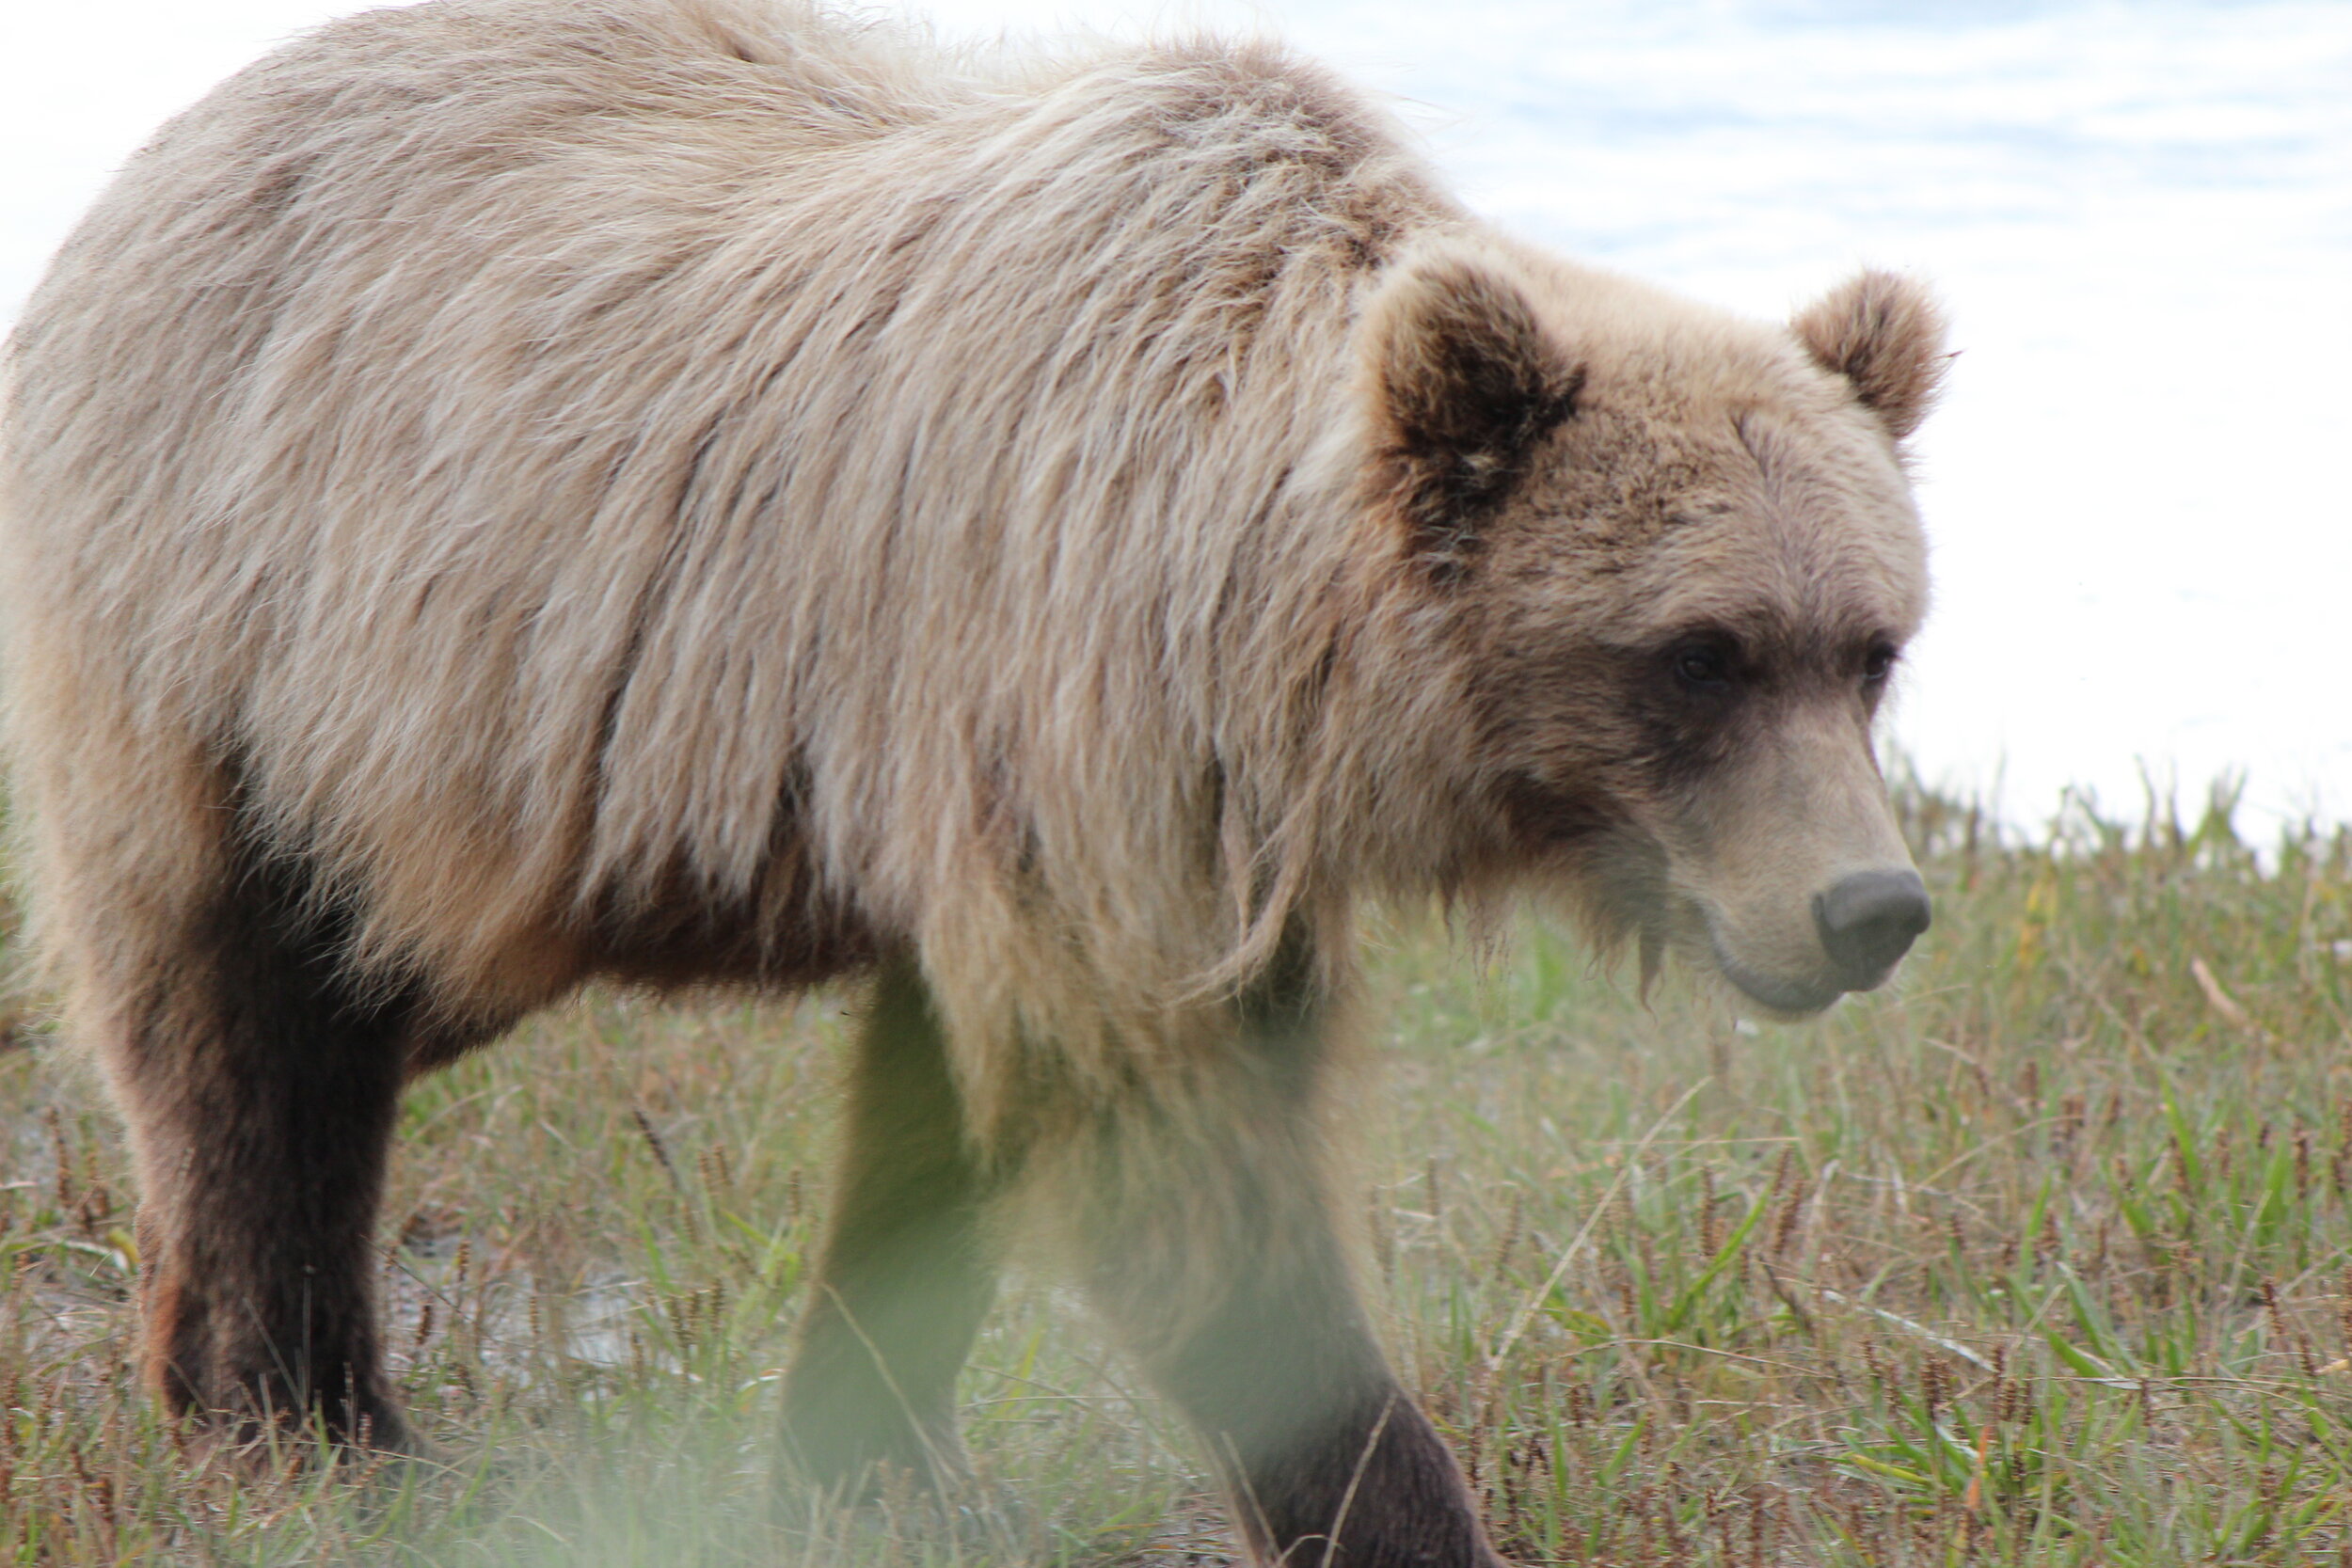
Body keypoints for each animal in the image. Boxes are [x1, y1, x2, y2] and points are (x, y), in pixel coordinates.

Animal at [0, 0, 1947, 1560]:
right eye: (1699, 653)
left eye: (1872, 644)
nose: (1871, 903)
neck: (1268, 638)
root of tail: (163, 149)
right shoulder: (1073, 715)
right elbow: (1181, 1160)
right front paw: (1394, 1505)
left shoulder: (1046, 811)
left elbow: (938, 1124)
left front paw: (864, 1456)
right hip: (276, 647)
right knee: (243, 1014)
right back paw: (300, 1418)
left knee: (348, 1003)